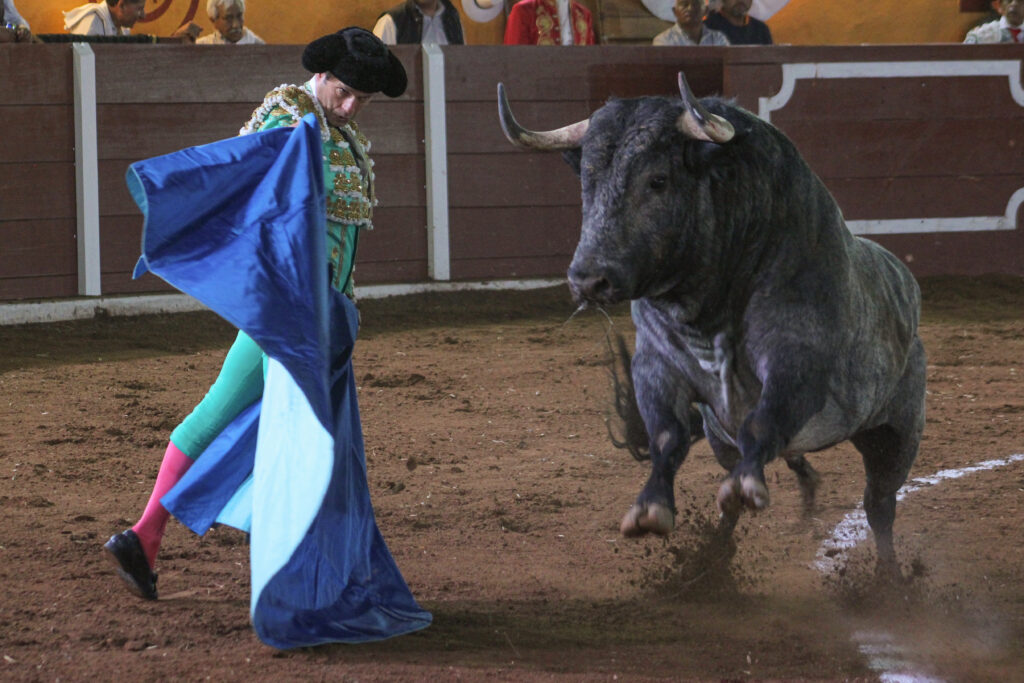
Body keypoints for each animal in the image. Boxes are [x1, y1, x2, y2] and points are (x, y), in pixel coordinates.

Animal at [497, 74, 929, 577]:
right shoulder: (656, 366)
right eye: (586, 179)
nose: (588, 279)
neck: (709, 304)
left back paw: (889, 576)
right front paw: (651, 507)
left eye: (658, 179)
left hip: (896, 433)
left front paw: (743, 486)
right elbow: (668, 437)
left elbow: (761, 424)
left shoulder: (797, 364)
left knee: (879, 504)